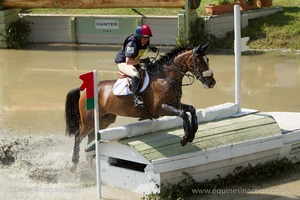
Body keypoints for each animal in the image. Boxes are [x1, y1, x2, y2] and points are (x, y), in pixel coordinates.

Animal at [65, 43, 216, 164]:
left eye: (207, 60)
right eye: (200, 62)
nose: (211, 83)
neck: (166, 77)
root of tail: (85, 89)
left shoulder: (175, 103)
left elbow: (191, 109)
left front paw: (192, 134)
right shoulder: (161, 109)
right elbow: (183, 114)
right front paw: (185, 138)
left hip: (105, 119)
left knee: (91, 137)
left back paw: (89, 160)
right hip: (89, 120)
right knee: (78, 136)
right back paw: (74, 164)